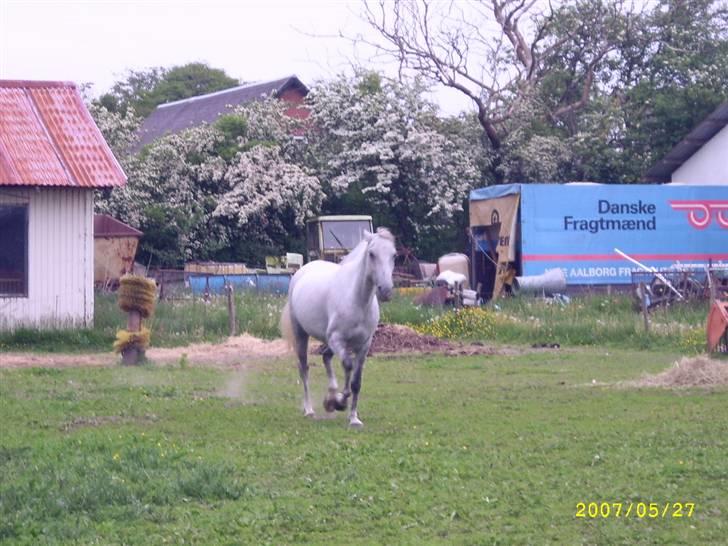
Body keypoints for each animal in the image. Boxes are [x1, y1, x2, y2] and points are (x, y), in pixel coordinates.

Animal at [280, 225, 396, 424]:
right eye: (372, 254)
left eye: (394, 255)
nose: (386, 291)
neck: (357, 300)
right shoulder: (337, 340)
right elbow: (348, 366)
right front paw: (339, 402)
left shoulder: (364, 345)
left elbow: (356, 382)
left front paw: (353, 418)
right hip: (302, 334)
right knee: (304, 368)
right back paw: (309, 409)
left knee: (325, 357)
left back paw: (330, 396)